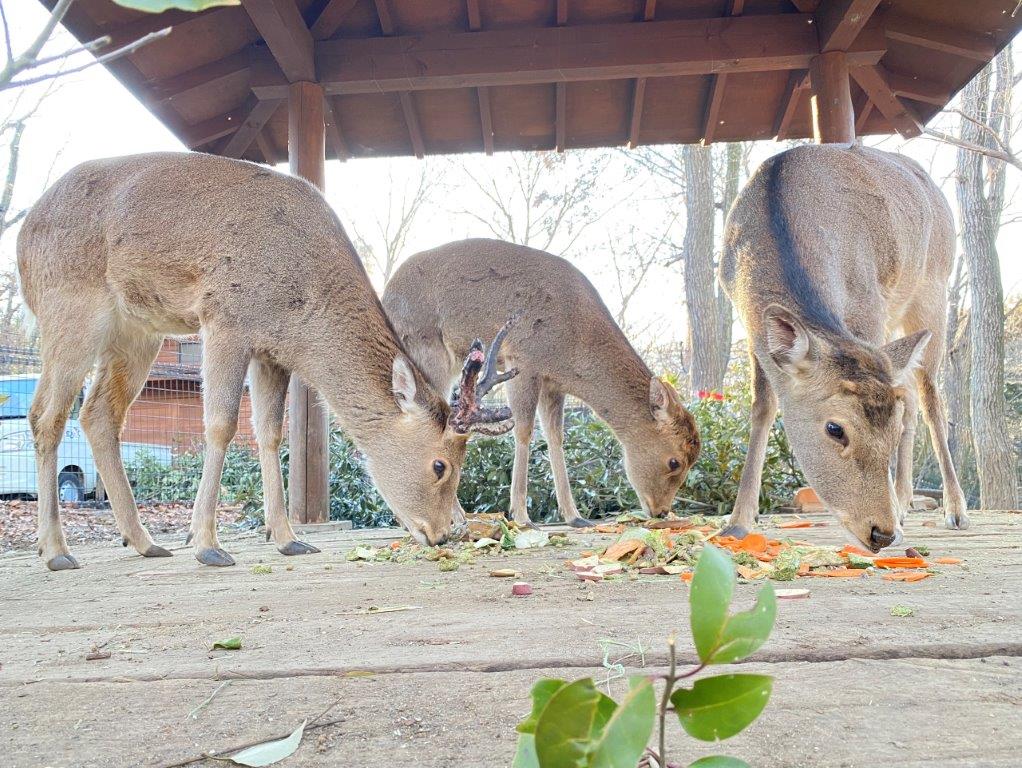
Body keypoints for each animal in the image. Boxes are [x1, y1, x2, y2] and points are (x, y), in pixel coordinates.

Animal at [14, 151, 510, 572]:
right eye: (440, 465)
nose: (443, 533)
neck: (301, 311)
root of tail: (21, 237)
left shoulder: (272, 351)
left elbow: (270, 433)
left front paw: (288, 537)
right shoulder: (225, 318)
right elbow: (220, 424)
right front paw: (207, 544)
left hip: (138, 333)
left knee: (98, 413)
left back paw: (145, 542)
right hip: (70, 310)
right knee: (46, 414)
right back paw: (56, 551)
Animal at [384, 239, 703, 527]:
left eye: (693, 460)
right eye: (674, 461)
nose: (661, 510)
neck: (573, 349)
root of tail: (387, 293)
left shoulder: (553, 383)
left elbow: (555, 436)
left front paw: (575, 516)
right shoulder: (523, 361)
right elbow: (524, 431)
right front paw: (522, 516)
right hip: (426, 348)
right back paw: (455, 516)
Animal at [715, 144, 968, 552]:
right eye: (835, 429)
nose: (881, 533)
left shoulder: (870, 303)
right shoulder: (751, 327)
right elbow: (762, 408)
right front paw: (737, 520)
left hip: (933, 289)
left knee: (931, 399)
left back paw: (953, 510)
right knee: (910, 396)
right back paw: (905, 502)